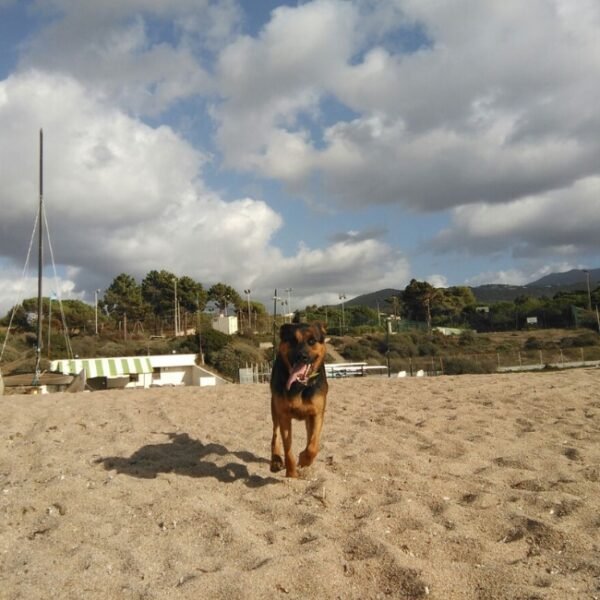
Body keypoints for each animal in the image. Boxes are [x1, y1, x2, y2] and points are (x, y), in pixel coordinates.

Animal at [270, 324, 328, 478]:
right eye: (292, 340)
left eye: (312, 341)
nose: (302, 356)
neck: (300, 385)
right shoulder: (284, 415)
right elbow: (288, 449)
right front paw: (291, 474)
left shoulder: (317, 414)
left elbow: (313, 446)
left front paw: (304, 459)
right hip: (274, 408)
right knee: (275, 434)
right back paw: (275, 461)